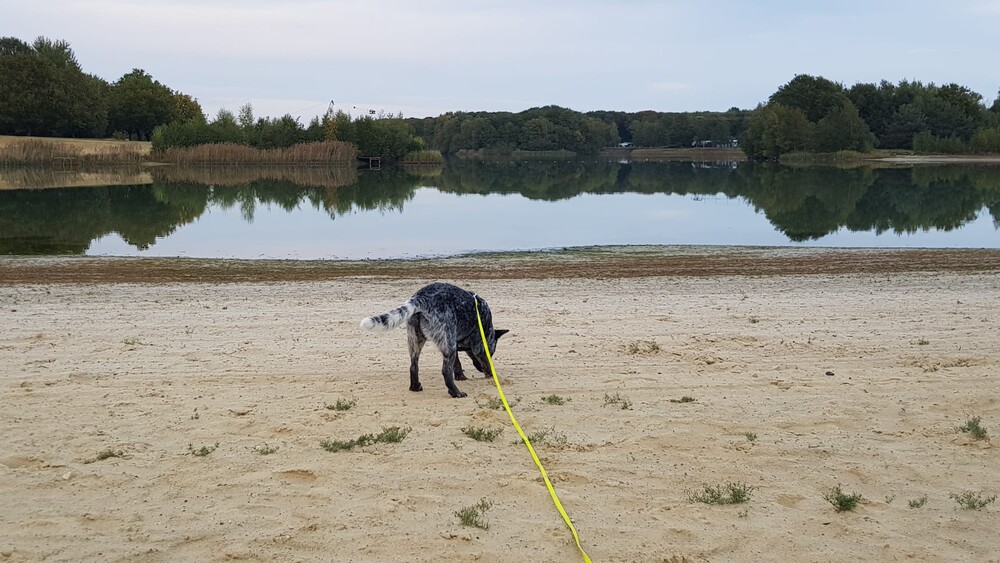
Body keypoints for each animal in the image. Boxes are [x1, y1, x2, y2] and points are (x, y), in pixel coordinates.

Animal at [361, 283, 508, 398]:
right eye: (492, 352)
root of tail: (420, 298)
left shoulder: (455, 344)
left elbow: (458, 364)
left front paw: (461, 375)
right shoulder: (477, 347)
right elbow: (485, 362)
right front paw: (490, 373)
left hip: (416, 341)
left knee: (413, 366)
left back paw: (415, 386)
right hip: (446, 344)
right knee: (445, 371)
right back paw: (455, 392)